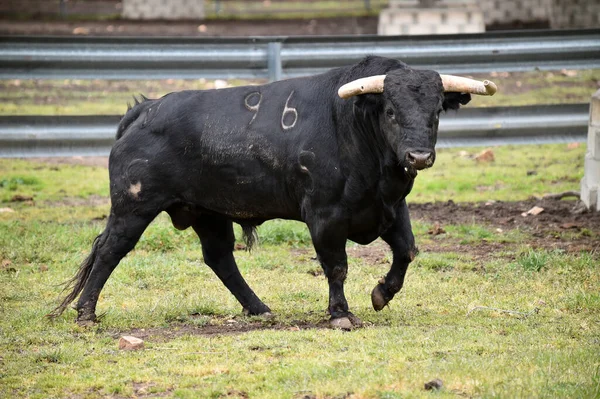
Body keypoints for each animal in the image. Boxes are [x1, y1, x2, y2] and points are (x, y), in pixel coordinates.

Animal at [49, 56, 486, 330]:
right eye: (391, 111)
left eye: (436, 112)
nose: (418, 155)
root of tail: (145, 109)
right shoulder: (324, 215)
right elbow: (337, 266)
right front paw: (340, 314)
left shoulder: (391, 207)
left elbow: (407, 251)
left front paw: (381, 294)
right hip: (133, 206)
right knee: (110, 250)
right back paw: (86, 314)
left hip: (207, 212)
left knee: (219, 258)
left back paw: (258, 308)